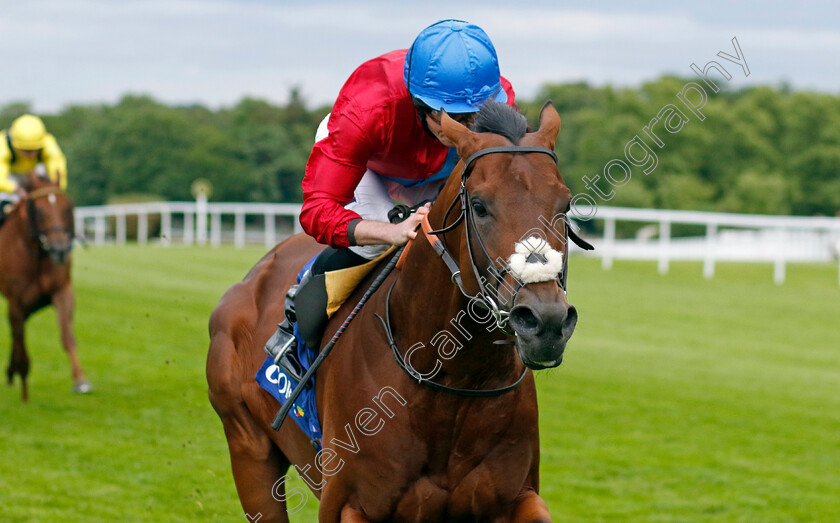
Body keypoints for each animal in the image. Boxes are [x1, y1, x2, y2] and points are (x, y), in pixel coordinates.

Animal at [0, 174, 89, 404]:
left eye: (67, 207)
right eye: (38, 211)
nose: (59, 248)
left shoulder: (61, 290)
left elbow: (67, 336)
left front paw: (81, 380)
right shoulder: (16, 299)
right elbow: (19, 335)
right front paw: (23, 385)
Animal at [207, 102, 580, 523]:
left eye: (565, 204)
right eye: (480, 206)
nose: (545, 321)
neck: (453, 378)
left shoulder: (517, 496)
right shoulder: (349, 505)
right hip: (248, 451)